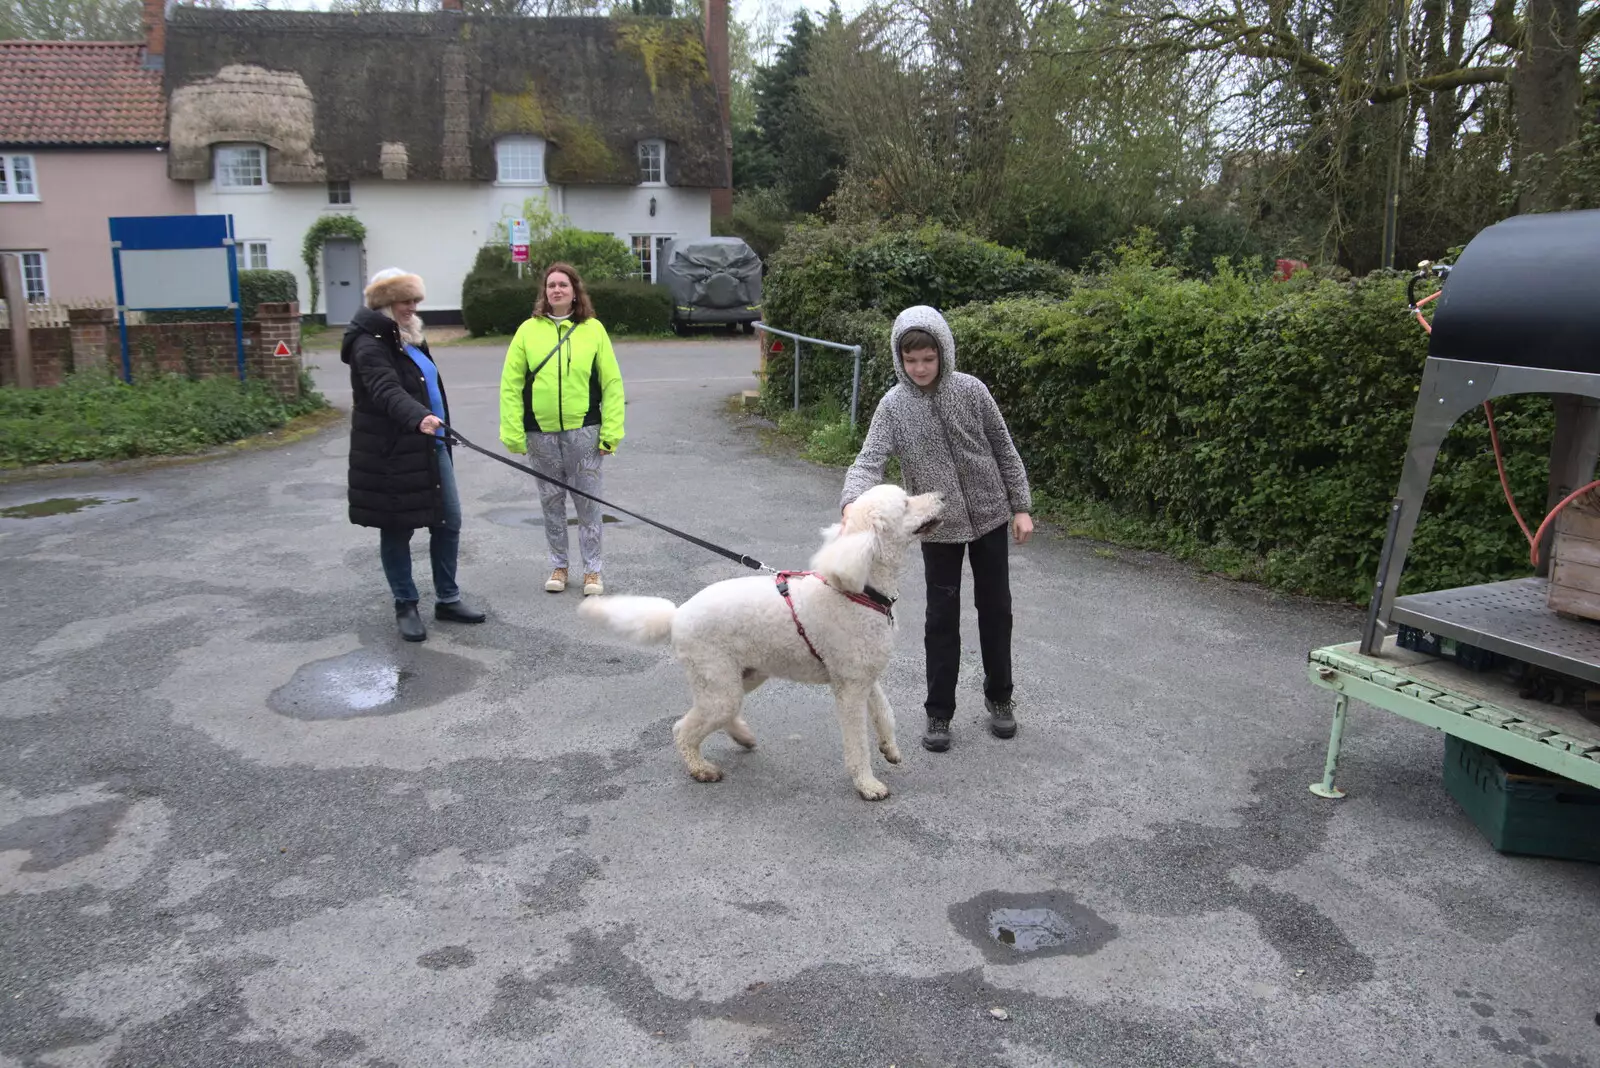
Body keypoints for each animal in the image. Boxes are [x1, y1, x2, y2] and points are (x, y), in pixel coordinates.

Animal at [582, 482, 940, 799]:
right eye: (906, 504)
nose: (941, 497)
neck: (859, 590)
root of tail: (676, 616)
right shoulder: (850, 688)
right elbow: (857, 743)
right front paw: (867, 785)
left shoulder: (864, 676)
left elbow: (884, 712)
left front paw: (890, 749)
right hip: (719, 682)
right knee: (684, 728)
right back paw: (701, 769)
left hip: (744, 674)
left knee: (714, 715)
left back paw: (742, 736)